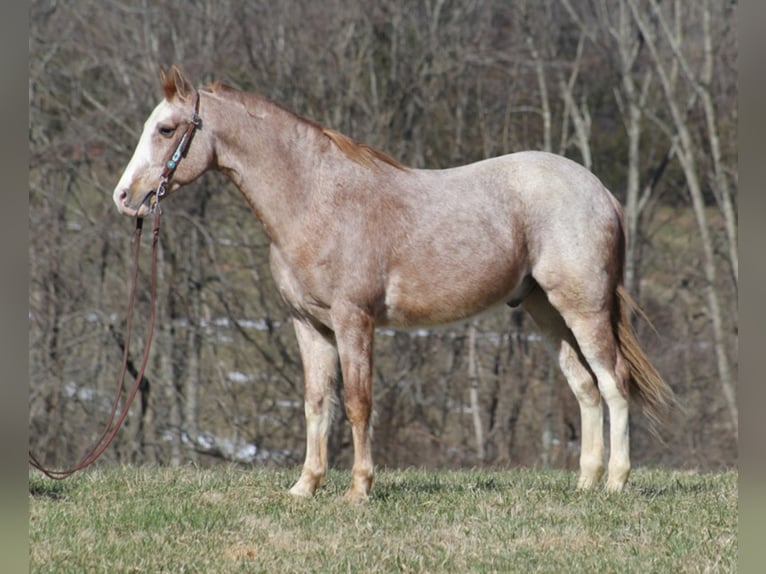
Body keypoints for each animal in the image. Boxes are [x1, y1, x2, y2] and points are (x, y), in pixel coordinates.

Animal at [112, 65, 672, 502]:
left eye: (166, 129)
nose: (124, 196)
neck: (315, 199)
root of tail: (600, 191)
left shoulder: (354, 321)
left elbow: (358, 403)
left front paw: (360, 488)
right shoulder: (309, 326)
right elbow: (317, 402)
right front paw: (305, 486)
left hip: (584, 308)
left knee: (613, 381)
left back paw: (616, 482)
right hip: (547, 313)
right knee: (585, 387)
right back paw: (586, 484)